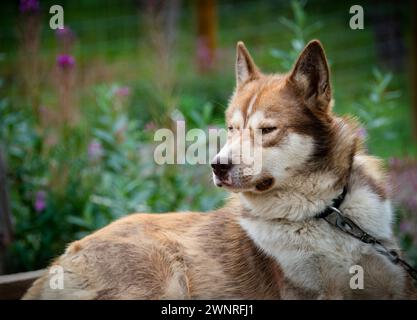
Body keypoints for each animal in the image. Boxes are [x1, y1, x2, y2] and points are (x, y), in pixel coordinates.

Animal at [24, 40, 414, 300]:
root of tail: (55, 265)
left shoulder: (393, 279)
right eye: (230, 128)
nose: (218, 165)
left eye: (267, 130)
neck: (321, 213)